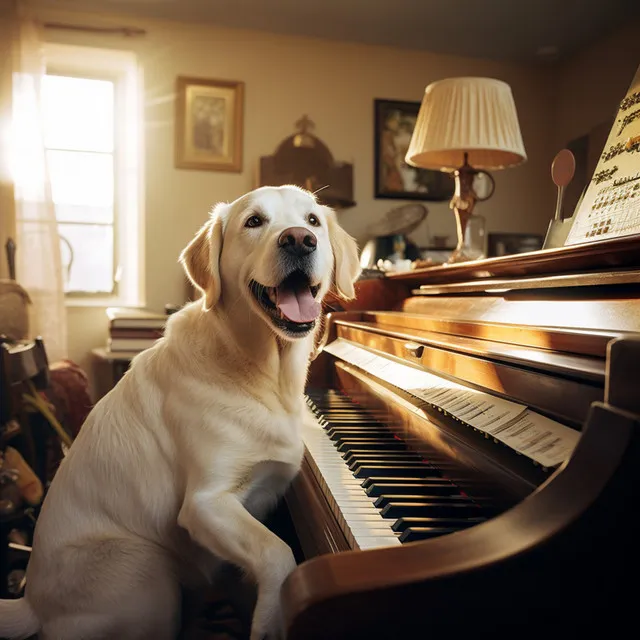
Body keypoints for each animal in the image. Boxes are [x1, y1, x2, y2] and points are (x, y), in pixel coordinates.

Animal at [0, 185, 360, 640]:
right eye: (254, 222)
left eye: (312, 221)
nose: (299, 239)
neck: (260, 369)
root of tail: (32, 603)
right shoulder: (205, 504)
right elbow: (277, 552)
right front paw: (271, 621)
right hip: (146, 570)